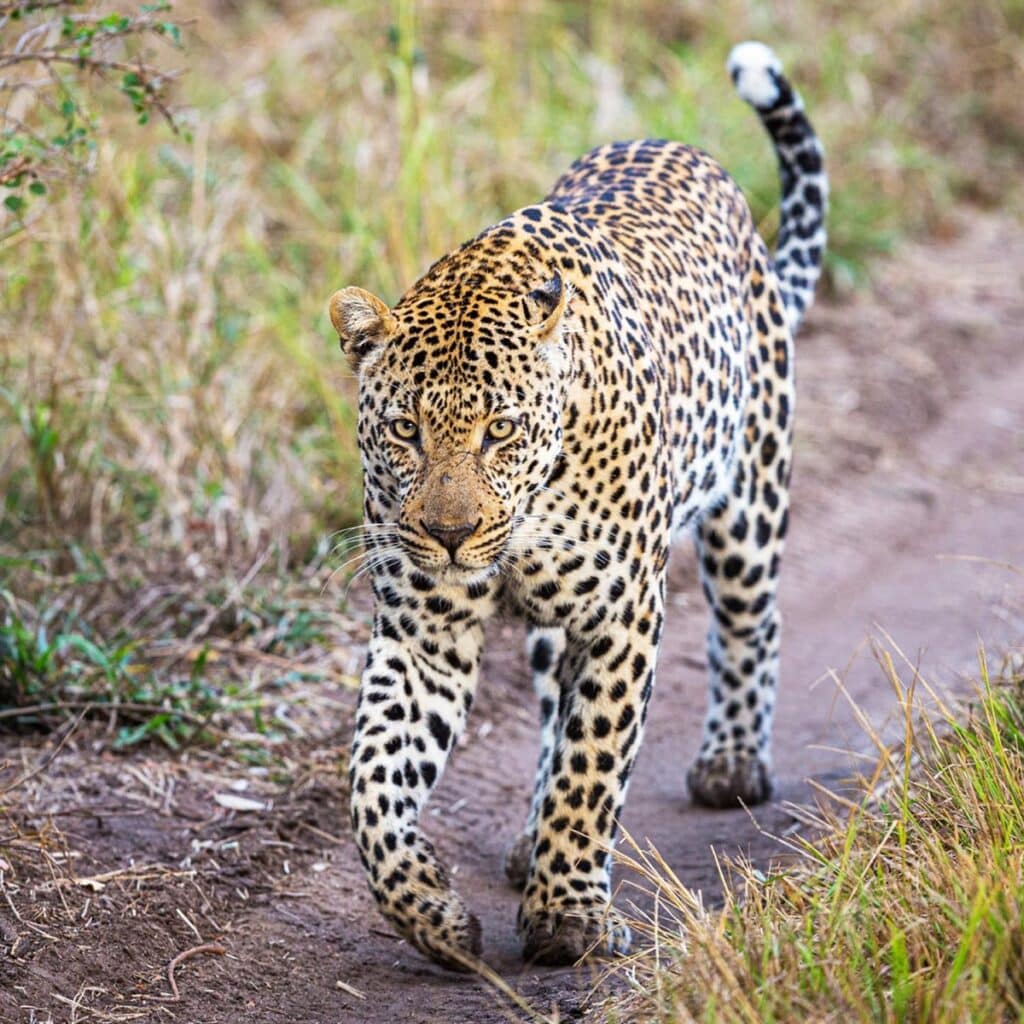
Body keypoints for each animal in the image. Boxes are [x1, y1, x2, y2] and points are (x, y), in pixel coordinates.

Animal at [327, 39, 823, 966]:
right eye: (406, 430)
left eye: (501, 430)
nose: (450, 534)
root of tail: (680, 148)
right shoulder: (422, 632)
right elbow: (372, 778)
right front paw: (429, 910)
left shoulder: (623, 611)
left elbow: (594, 763)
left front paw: (567, 918)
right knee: (552, 706)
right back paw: (527, 840)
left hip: (749, 495)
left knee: (749, 623)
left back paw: (731, 763)